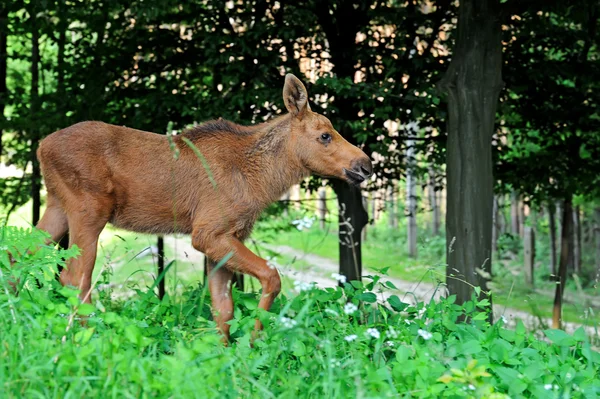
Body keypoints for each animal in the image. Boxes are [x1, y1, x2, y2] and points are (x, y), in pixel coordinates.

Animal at [35, 74, 372, 340]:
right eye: (325, 135)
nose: (365, 165)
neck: (261, 180)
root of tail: (40, 146)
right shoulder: (208, 233)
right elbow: (271, 277)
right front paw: (254, 342)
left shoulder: (224, 238)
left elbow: (223, 308)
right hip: (89, 210)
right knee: (75, 278)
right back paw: (84, 336)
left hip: (57, 206)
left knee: (28, 254)